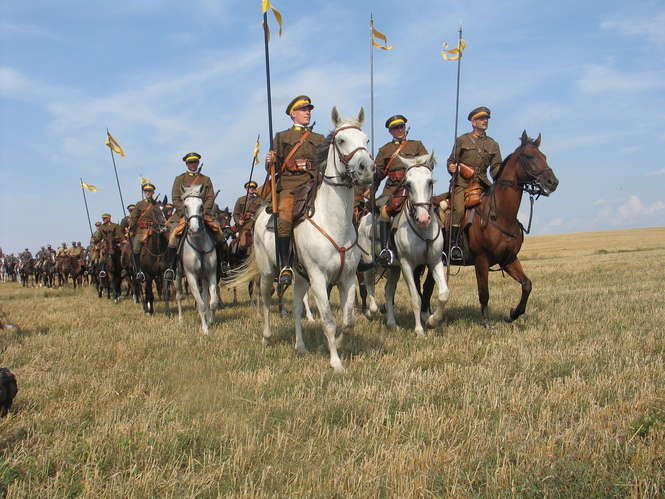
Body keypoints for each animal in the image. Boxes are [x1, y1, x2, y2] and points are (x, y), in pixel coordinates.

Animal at [175, 185, 219, 336]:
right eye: (185, 206)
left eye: (201, 206)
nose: (195, 229)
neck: (199, 245)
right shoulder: (191, 277)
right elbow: (200, 304)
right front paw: (204, 329)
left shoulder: (211, 274)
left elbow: (212, 302)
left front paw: (210, 320)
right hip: (178, 276)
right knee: (179, 296)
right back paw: (180, 319)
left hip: (204, 278)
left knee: (205, 296)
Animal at [382, 154, 448, 338]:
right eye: (408, 184)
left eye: (430, 182)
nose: (423, 218)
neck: (422, 231)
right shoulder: (407, 265)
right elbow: (416, 298)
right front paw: (419, 330)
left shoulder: (434, 262)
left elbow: (443, 294)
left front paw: (432, 321)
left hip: (393, 268)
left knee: (388, 291)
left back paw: (392, 323)